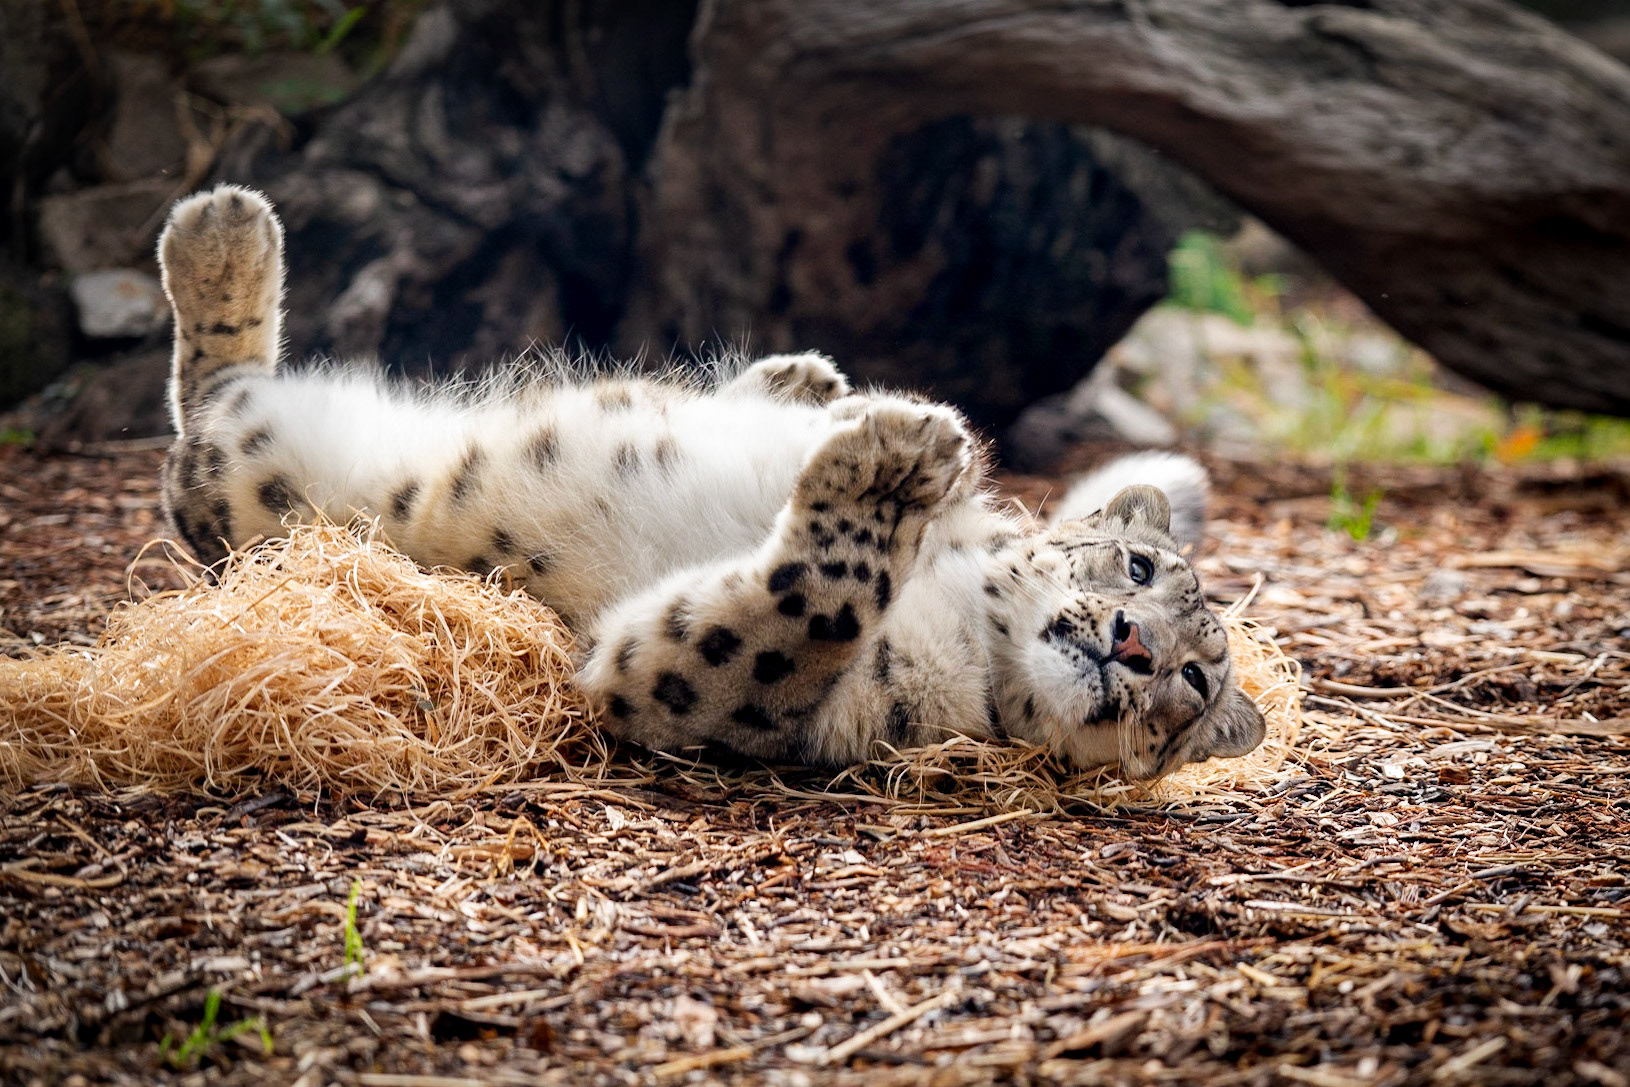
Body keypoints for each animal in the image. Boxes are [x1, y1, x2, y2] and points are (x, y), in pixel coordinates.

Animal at [155, 184, 1266, 780]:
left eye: (1194, 683)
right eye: (1137, 567)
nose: (1132, 644)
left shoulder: (689, 688)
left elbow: (818, 600)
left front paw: (893, 467)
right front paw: (899, 435)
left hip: (258, 484)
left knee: (204, 416)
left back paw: (218, 237)